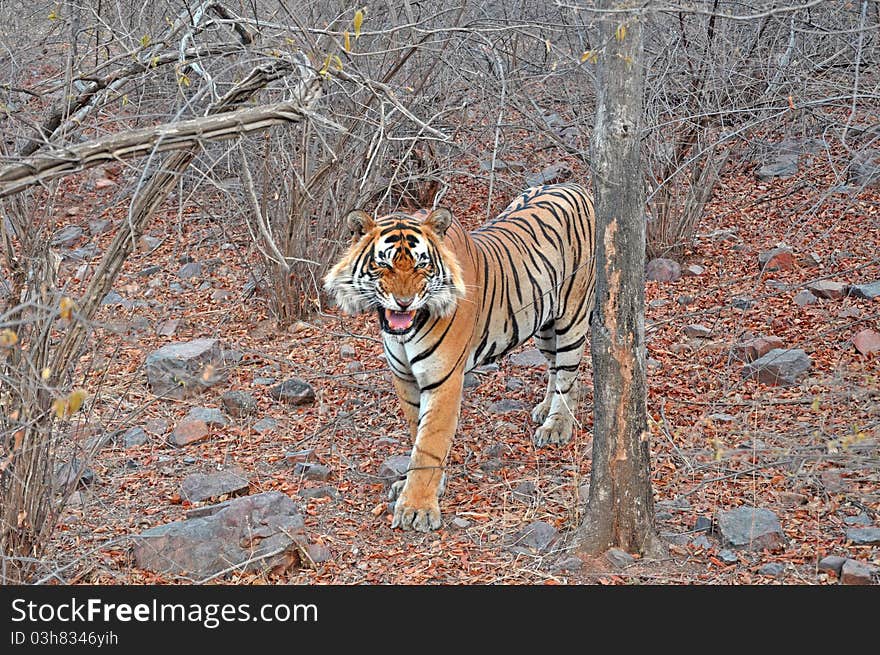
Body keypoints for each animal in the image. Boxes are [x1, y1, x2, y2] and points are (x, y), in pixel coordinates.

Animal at [324, 183, 600, 532]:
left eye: (422, 265)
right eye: (384, 265)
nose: (404, 302)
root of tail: (573, 186)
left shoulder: (443, 379)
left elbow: (430, 443)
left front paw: (416, 509)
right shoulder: (405, 378)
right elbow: (418, 433)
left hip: (572, 314)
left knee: (568, 372)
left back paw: (557, 426)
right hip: (542, 322)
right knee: (556, 368)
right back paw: (544, 410)